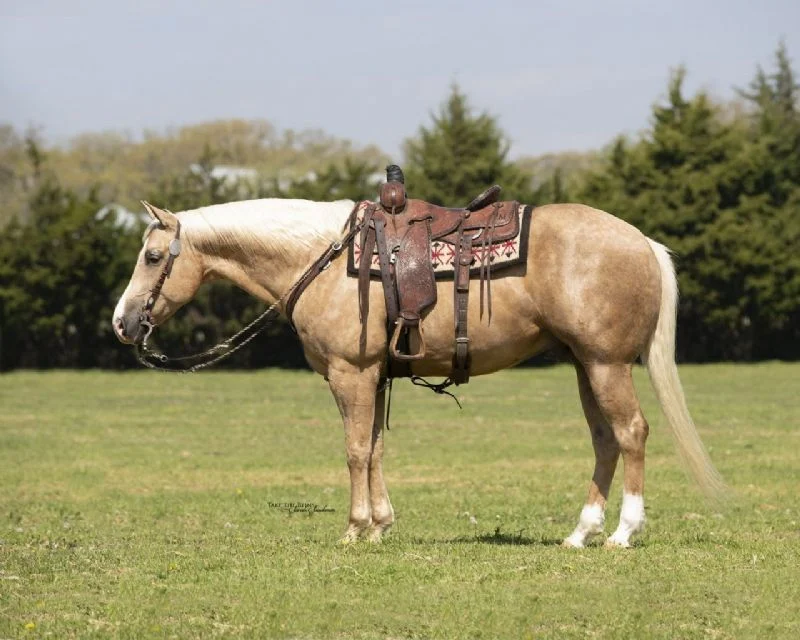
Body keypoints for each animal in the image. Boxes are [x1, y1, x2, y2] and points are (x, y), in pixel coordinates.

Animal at [112, 197, 725, 548]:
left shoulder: (351, 373)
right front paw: (382, 524)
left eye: (151, 257)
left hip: (606, 364)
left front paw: (356, 528)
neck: (323, 258)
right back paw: (581, 533)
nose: (122, 322)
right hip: (585, 365)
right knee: (604, 441)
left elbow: (356, 450)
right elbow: (377, 449)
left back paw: (623, 532)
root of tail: (642, 242)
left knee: (631, 433)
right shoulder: (374, 376)